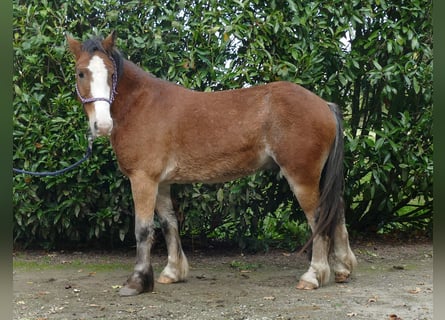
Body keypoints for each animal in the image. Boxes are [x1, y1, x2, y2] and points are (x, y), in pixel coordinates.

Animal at [67, 31, 358, 296]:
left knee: (318, 218)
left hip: (302, 176)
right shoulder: (161, 182)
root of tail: (324, 104)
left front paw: (137, 282)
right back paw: (343, 269)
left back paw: (313, 276)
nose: (102, 125)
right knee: (337, 211)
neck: (141, 104)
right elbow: (169, 224)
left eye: (111, 74)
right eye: (81, 73)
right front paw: (172, 272)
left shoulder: (143, 179)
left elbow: (143, 230)